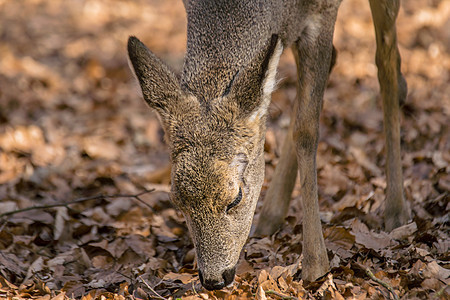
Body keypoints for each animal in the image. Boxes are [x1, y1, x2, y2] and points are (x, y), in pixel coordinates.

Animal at [127, 0, 412, 290]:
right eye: (177, 200)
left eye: (236, 197)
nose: (214, 279)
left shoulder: (324, 12)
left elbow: (306, 130)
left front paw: (315, 266)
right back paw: (270, 216)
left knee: (388, 63)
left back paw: (396, 210)